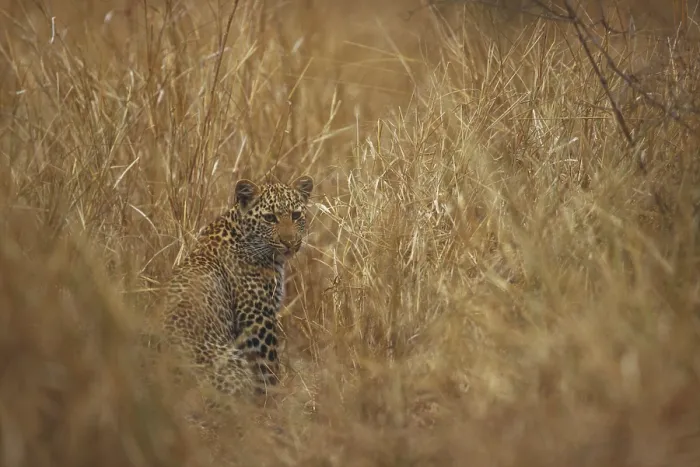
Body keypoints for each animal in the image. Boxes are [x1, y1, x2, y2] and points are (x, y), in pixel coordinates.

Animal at [160, 175, 314, 401]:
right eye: (270, 218)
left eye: (295, 215)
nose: (289, 242)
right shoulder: (257, 320)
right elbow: (268, 370)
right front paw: (274, 400)